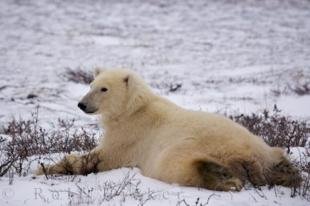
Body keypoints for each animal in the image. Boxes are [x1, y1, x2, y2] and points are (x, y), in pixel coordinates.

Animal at [36, 68, 300, 191]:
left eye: (104, 89)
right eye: (90, 85)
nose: (82, 104)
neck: (134, 108)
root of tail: (248, 155)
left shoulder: (131, 135)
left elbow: (99, 158)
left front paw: (43, 168)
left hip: (186, 146)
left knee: (175, 166)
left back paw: (221, 177)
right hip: (261, 146)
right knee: (277, 156)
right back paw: (286, 172)